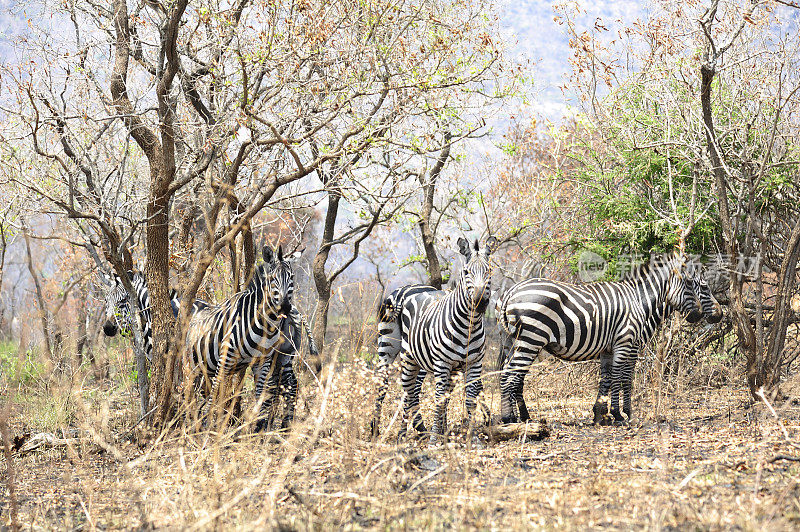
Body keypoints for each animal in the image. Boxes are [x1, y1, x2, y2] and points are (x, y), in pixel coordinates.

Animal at [184, 245, 316, 432]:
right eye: (273, 279)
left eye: (291, 277)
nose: (285, 307)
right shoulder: (226, 357)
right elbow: (217, 391)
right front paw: (208, 426)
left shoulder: (263, 361)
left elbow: (262, 394)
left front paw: (258, 428)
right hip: (194, 364)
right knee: (193, 391)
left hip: (283, 356)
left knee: (288, 385)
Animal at [372, 237, 496, 444]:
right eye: (466, 272)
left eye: (489, 271)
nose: (480, 303)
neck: (468, 325)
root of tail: (402, 292)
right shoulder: (444, 363)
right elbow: (441, 398)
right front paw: (437, 437)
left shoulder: (472, 363)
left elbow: (466, 398)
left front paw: (469, 436)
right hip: (399, 352)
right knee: (403, 389)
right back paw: (398, 432)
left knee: (400, 388)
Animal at [496, 256, 708, 426]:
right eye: (690, 284)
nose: (698, 315)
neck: (639, 301)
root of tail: (511, 292)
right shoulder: (626, 343)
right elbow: (622, 377)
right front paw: (621, 415)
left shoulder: (608, 349)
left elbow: (606, 378)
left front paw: (601, 415)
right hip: (531, 339)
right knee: (510, 376)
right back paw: (510, 419)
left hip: (513, 341)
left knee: (509, 374)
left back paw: (519, 417)